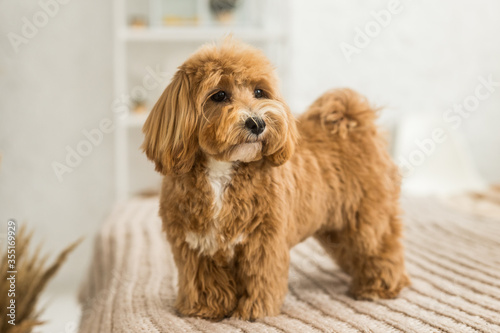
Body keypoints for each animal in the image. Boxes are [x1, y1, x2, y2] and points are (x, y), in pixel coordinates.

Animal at [142, 38, 410, 320]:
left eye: (259, 92)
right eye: (219, 95)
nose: (257, 123)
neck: (223, 169)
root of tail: (352, 123)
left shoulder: (263, 240)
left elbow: (260, 277)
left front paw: (254, 311)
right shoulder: (196, 244)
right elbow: (205, 280)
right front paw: (205, 309)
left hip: (366, 216)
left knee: (380, 247)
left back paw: (379, 286)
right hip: (334, 226)